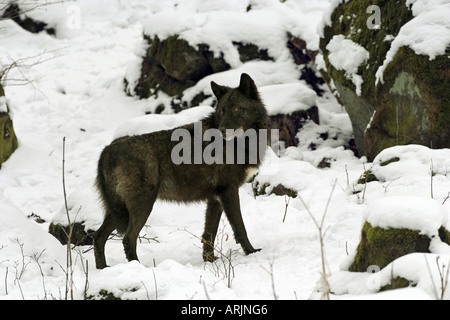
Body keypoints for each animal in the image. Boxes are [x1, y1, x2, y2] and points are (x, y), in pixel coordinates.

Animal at [91, 74, 268, 268]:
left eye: (236, 109)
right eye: (222, 111)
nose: (221, 131)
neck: (240, 144)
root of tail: (108, 149)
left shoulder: (215, 198)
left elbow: (208, 234)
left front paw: (209, 261)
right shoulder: (229, 191)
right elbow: (240, 228)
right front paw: (252, 252)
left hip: (118, 211)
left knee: (98, 237)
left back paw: (103, 269)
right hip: (142, 206)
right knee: (128, 239)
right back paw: (138, 267)